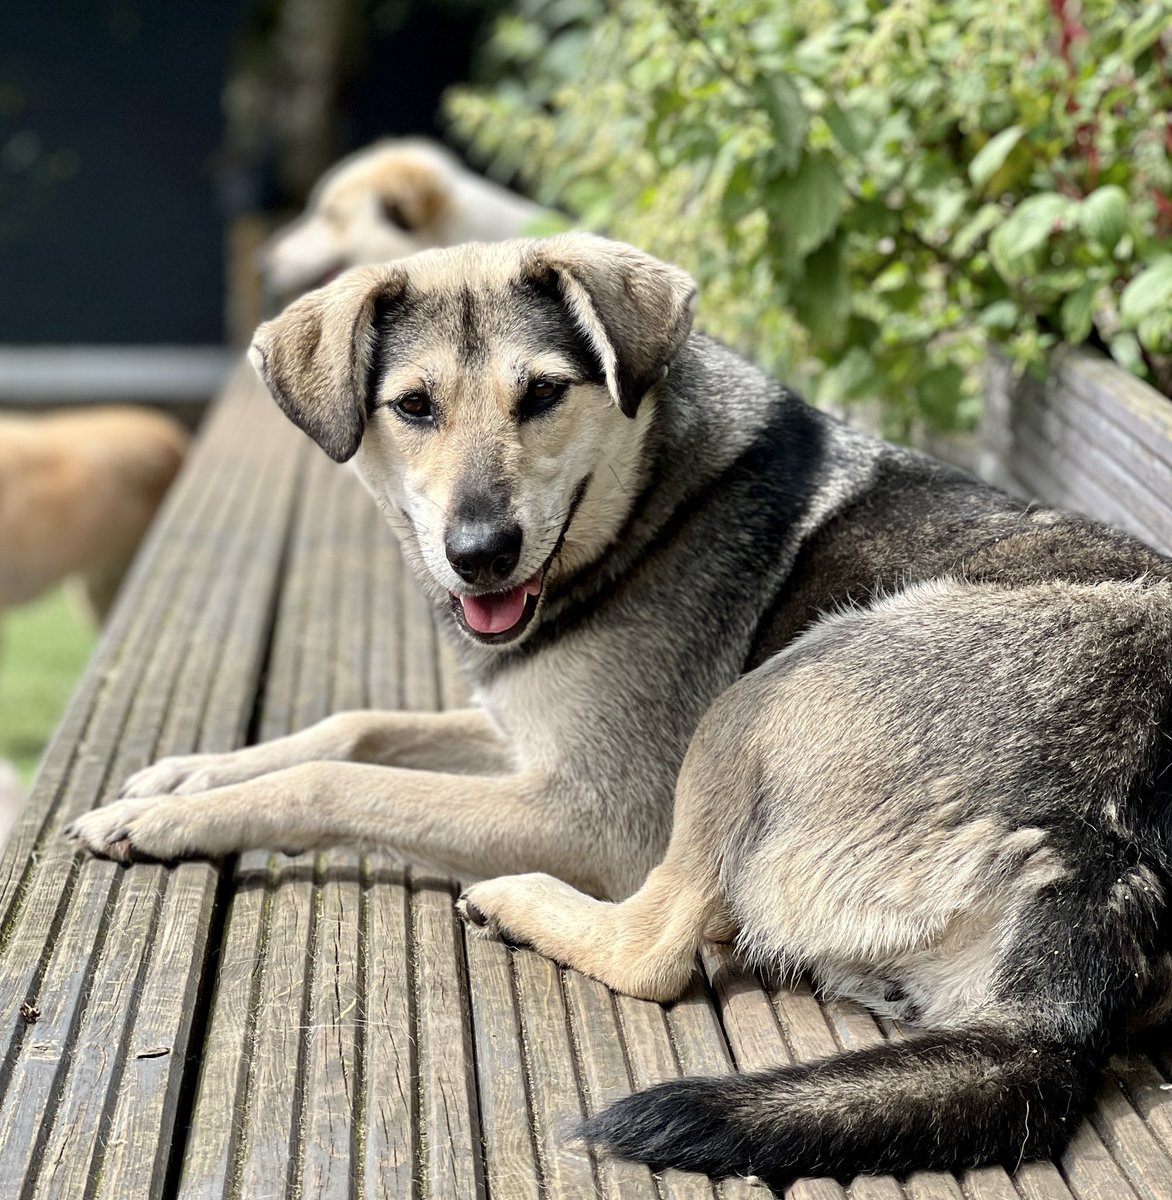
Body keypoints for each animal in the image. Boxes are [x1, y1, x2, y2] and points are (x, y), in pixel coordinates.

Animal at [68, 236, 1170, 1190]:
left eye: (543, 393)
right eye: (413, 406)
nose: (479, 554)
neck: (650, 498)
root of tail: (1104, 870)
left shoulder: (588, 810)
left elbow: (337, 778)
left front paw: (167, 819)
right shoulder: (522, 733)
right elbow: (354, 726)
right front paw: (183, 776)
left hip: (759, 698)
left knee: (657, 946)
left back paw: (520, 903)